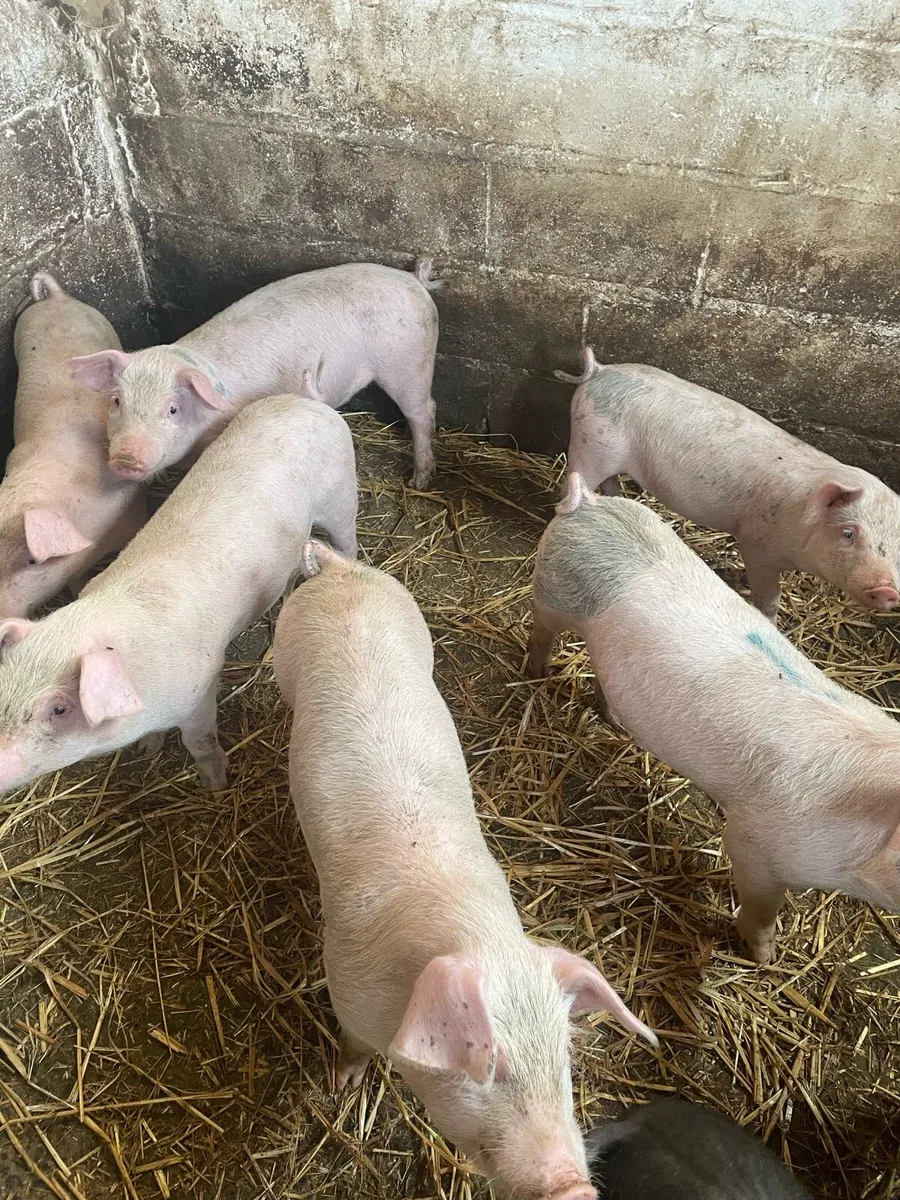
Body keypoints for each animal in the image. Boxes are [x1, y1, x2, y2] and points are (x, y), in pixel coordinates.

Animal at [0, 382, 357, 795]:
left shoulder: (199, 690)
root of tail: (305, 404)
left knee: (348, 542)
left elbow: (197, 741)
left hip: (341, 497)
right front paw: (147, 749)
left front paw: (216, 786)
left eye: (59, 708)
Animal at [69, 259, 440, 488]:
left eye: (172, 409)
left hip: (409, 361)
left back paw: (420, 480)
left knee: (424, 411)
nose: (125, 459)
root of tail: (413, 279)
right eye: (117, 402)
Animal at [273, 541, 658, 1200]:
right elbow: (351, 1046)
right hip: (284, 647)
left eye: (562, 1060)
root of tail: (340, 571)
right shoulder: (343, 985)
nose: (575, 1187)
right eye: (489, 1063)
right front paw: (343, 1081)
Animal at [527, 475, 900, 963]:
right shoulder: (757, 844)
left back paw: (615, 722)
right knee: (540, 632)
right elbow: (760, 905)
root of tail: (586, 503)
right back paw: (535, 673)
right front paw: (766, 960)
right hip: (550, 594)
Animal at [560, 348, 900, 619]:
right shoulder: (757, 544)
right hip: (590, 446)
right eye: (848, 533)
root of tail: (598, 371)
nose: (887, 591)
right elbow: (769, 598)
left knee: (610, 483)